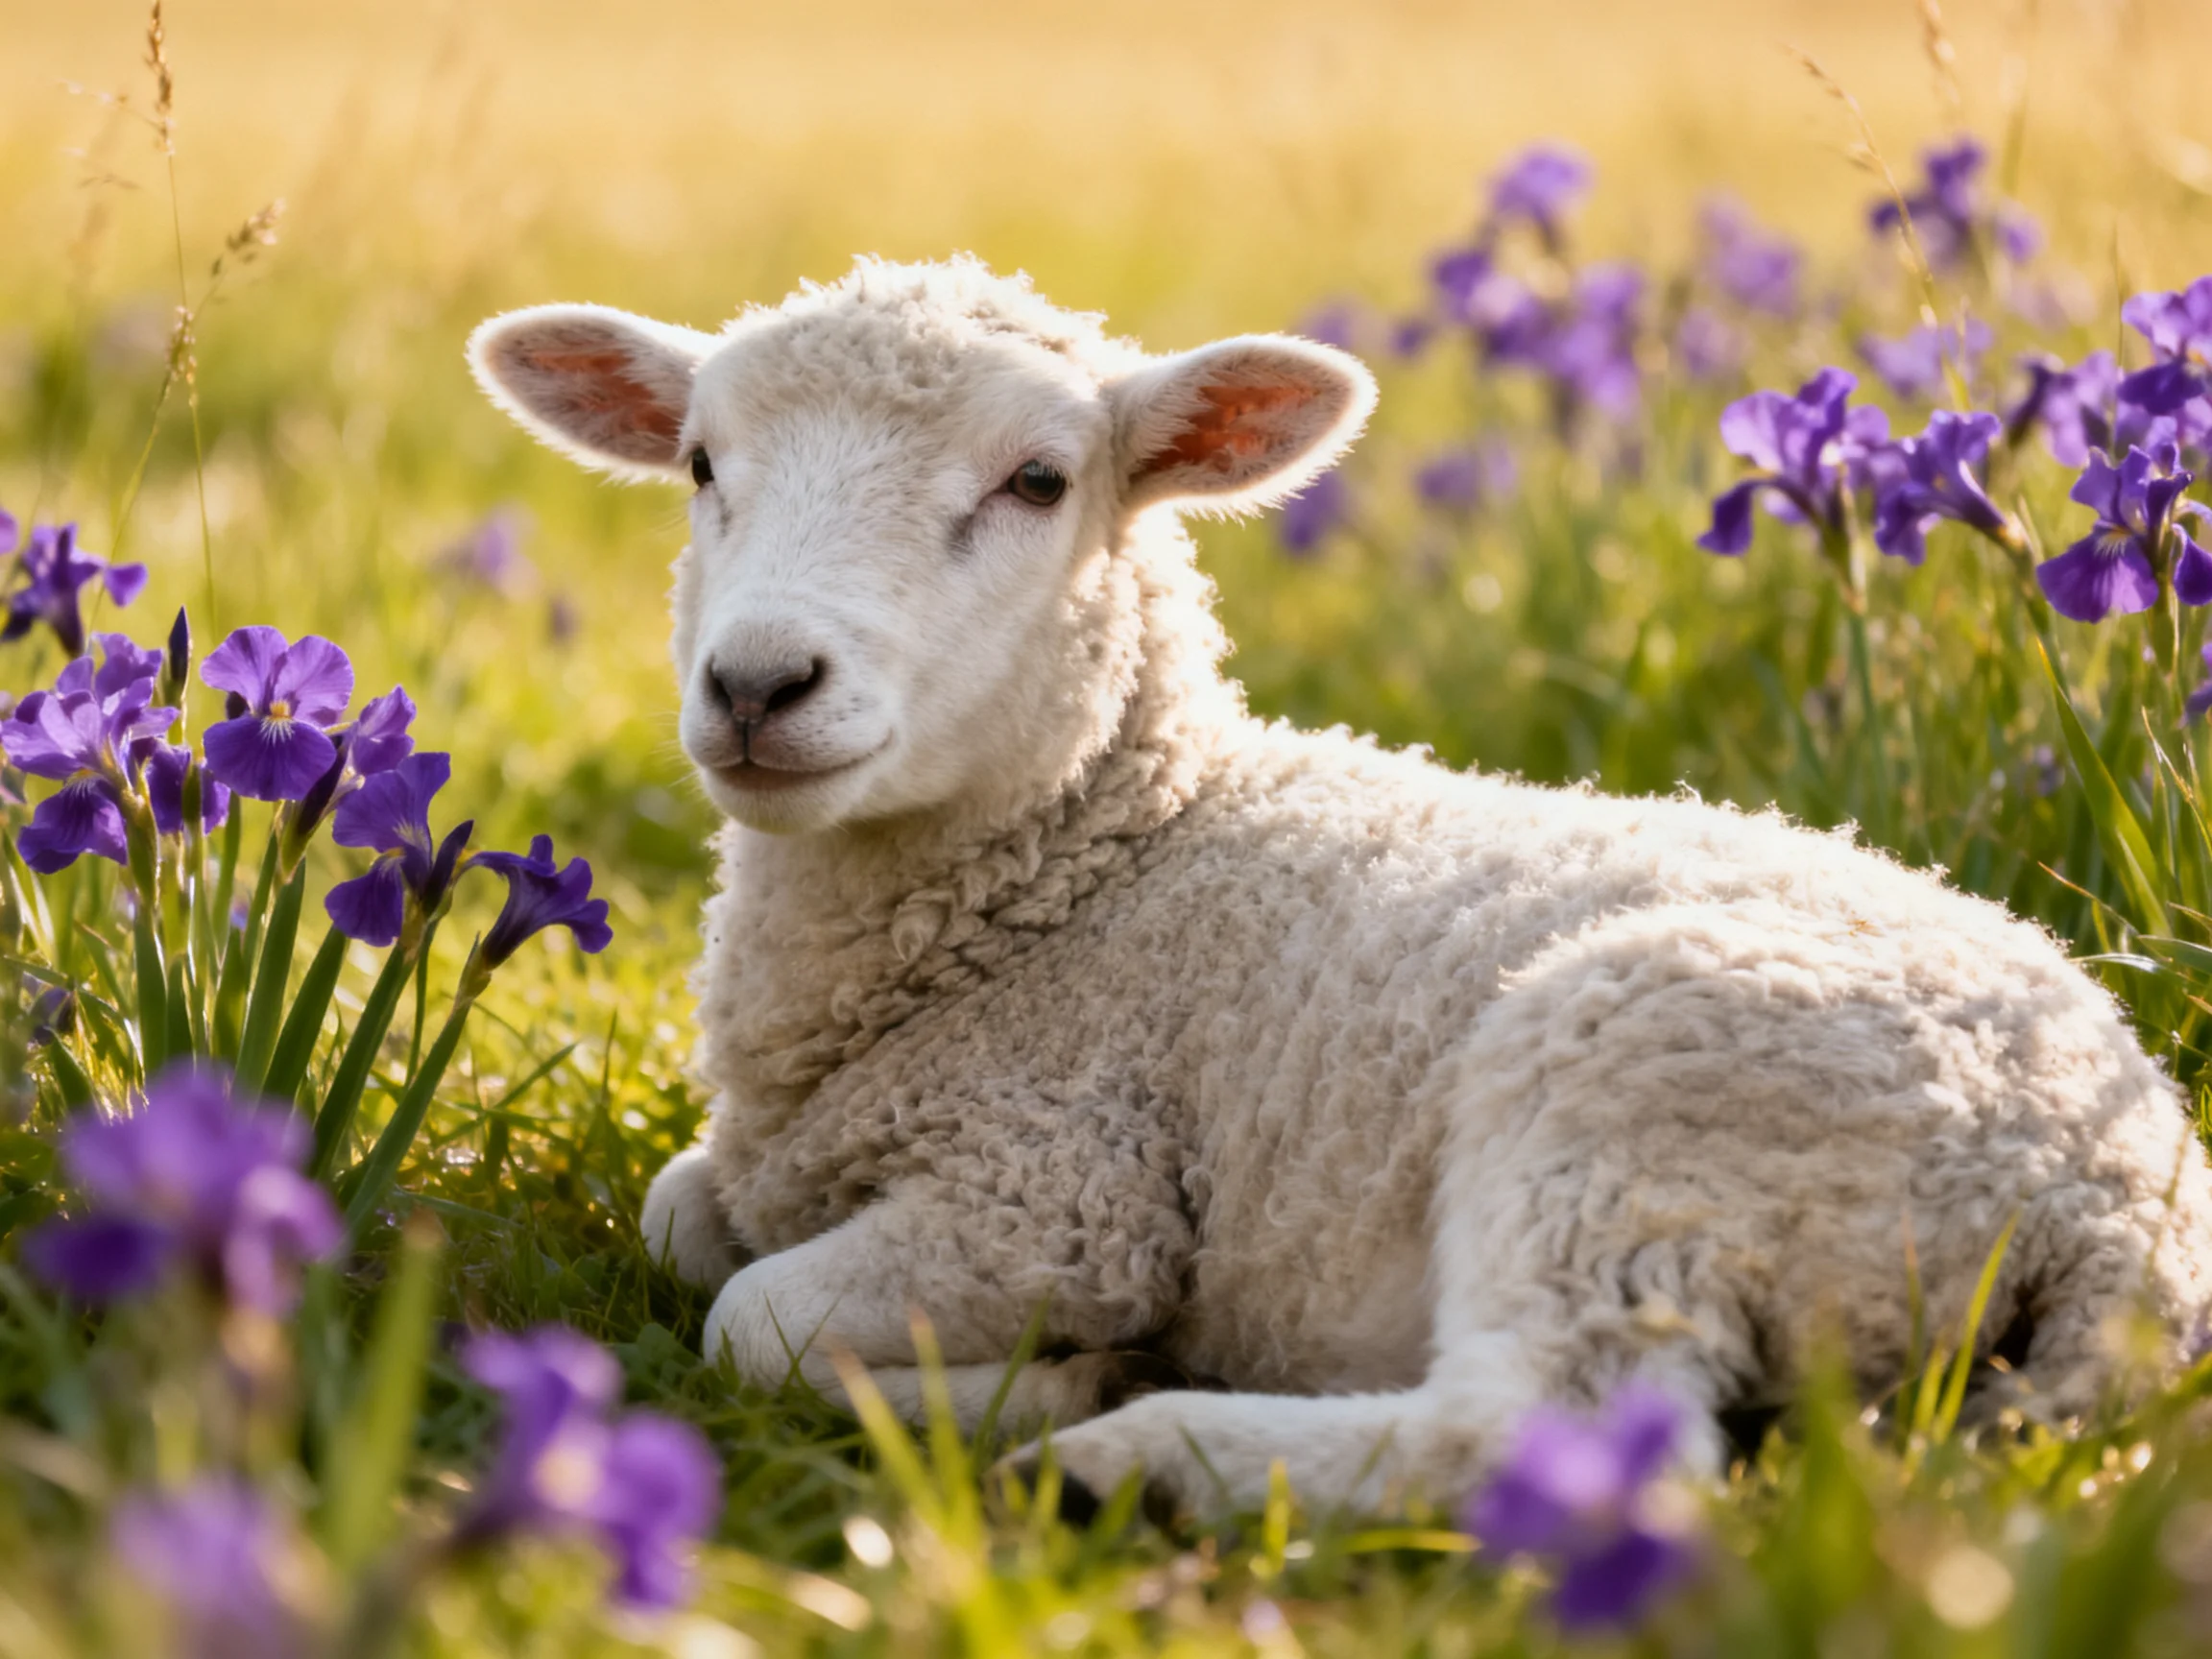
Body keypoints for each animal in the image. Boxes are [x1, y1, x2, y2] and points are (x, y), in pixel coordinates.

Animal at [468, 256, 2212, 1518]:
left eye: (1036, 482)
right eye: (701, 462)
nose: (757, 684)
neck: (1121, 853)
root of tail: (2124, 1194)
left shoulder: (1056, 1192)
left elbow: (748, 1317)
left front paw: (1040, 1375)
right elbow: (683, 1216)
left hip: (1643, 1105)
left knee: (1542, 1430)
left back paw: (1120, 1444)